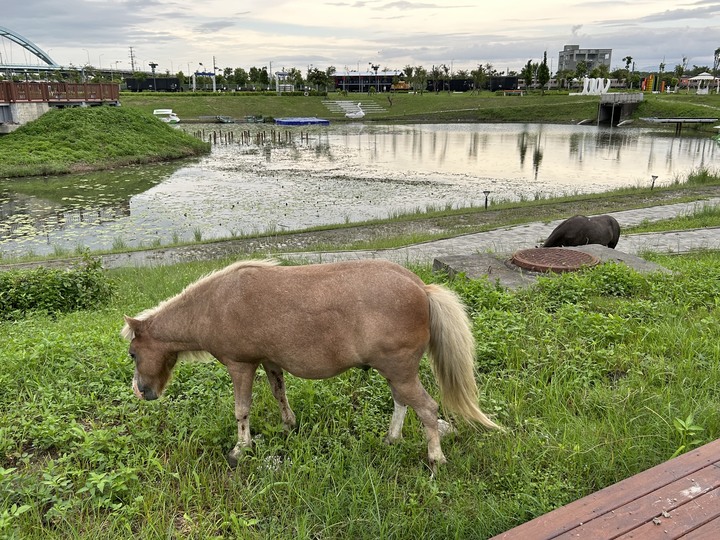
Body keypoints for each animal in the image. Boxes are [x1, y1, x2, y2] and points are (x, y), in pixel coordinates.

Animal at [121, 258, 498, 468]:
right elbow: (279, 394)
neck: (216, 304)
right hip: (396, 373)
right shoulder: (269, 362)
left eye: (132, 354)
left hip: (400, 371)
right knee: (402, 403)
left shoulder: (240, 365)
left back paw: (435, 459)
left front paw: (241, 449)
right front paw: (288, 425)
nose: (143, 392)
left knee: (427, 408)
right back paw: (391, 439)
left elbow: (242, 410)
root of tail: (421, 287)